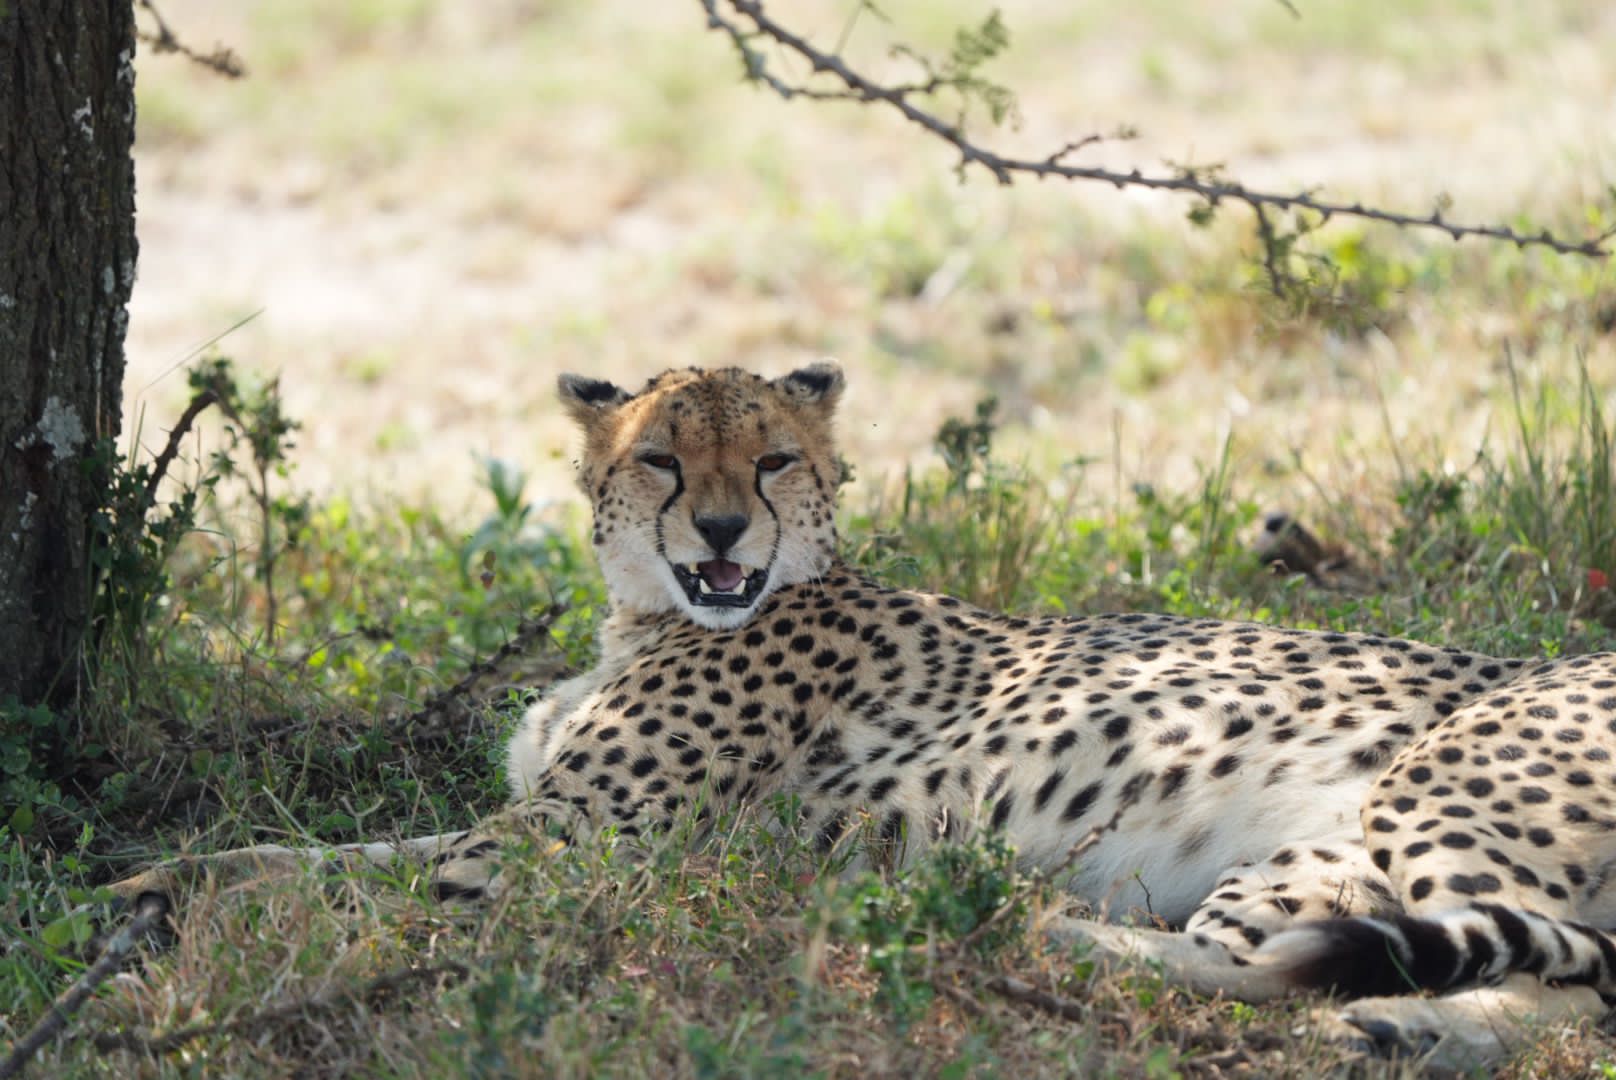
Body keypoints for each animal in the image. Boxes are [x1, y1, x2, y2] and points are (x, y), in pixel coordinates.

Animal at [114, 362, 1616, 1068]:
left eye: (774, 460)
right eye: (662, 461)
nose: (723, 532)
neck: (648, 615)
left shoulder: (564, 848)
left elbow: (317, 879)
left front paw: (146, 908)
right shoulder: (538, 826)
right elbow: (294, 859)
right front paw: (144, 892)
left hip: (1428, 787)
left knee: (1569, 996)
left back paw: (1050, 935)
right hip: (1315, 859)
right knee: (1459, 981)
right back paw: (1370, 1022)